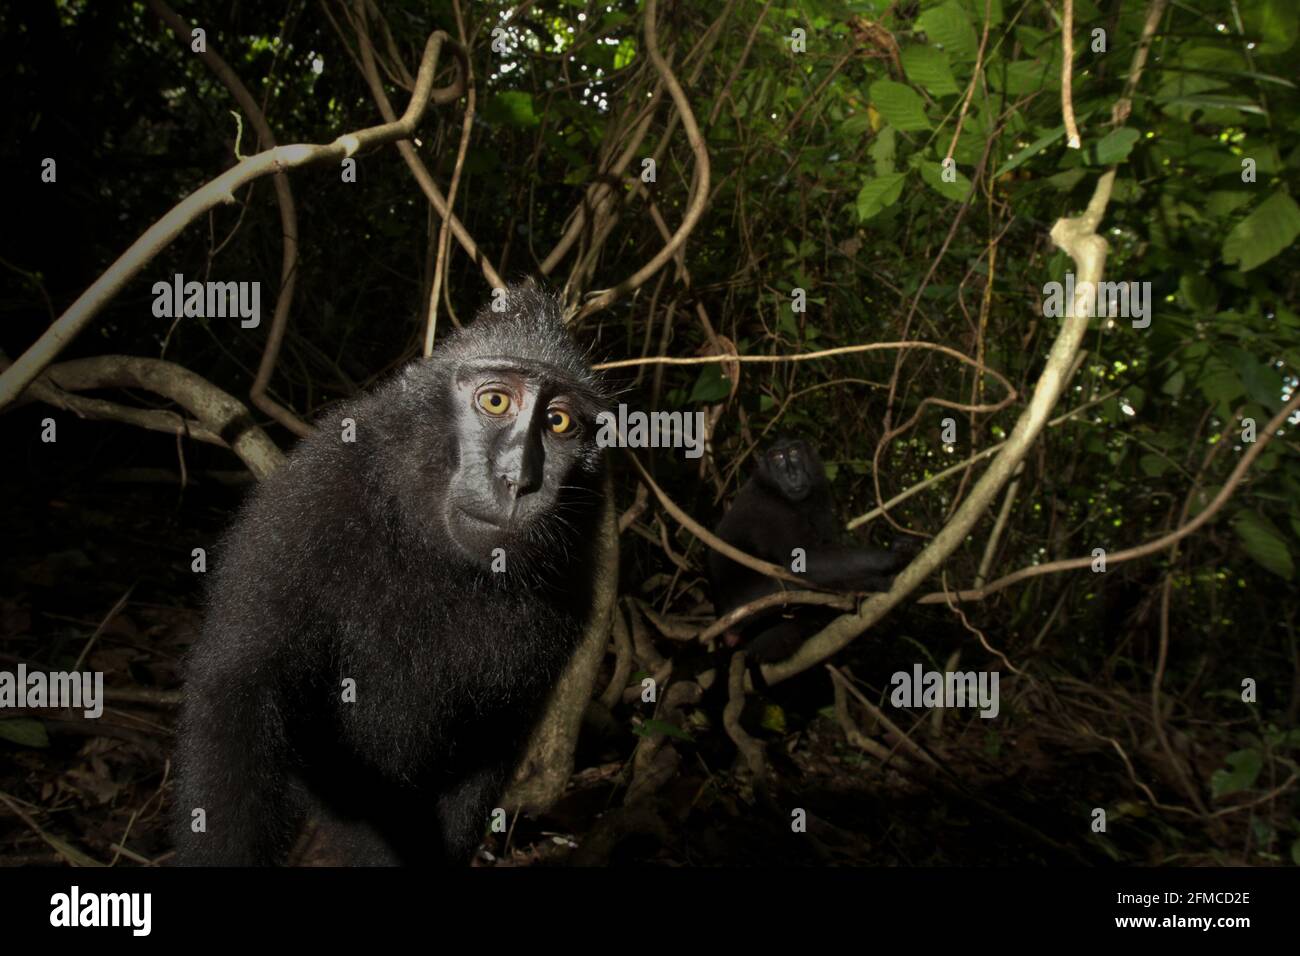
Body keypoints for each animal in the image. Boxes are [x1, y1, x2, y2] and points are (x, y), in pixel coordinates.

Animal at [171, 285, 610, 866]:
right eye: (495, 401)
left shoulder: (573, 581)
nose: (518, 480)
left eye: (559, 422)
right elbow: (237, 693)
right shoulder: (312, 495)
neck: (442, 557)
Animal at [707, 436, 914, 664]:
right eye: (777, 457)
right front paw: (894, 559)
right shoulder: (767, 508)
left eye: (794, 452)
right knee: (787, 585)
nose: (791, 474)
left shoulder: (820, 494)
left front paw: (898, 549)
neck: (774, 489)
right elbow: (808, 560)